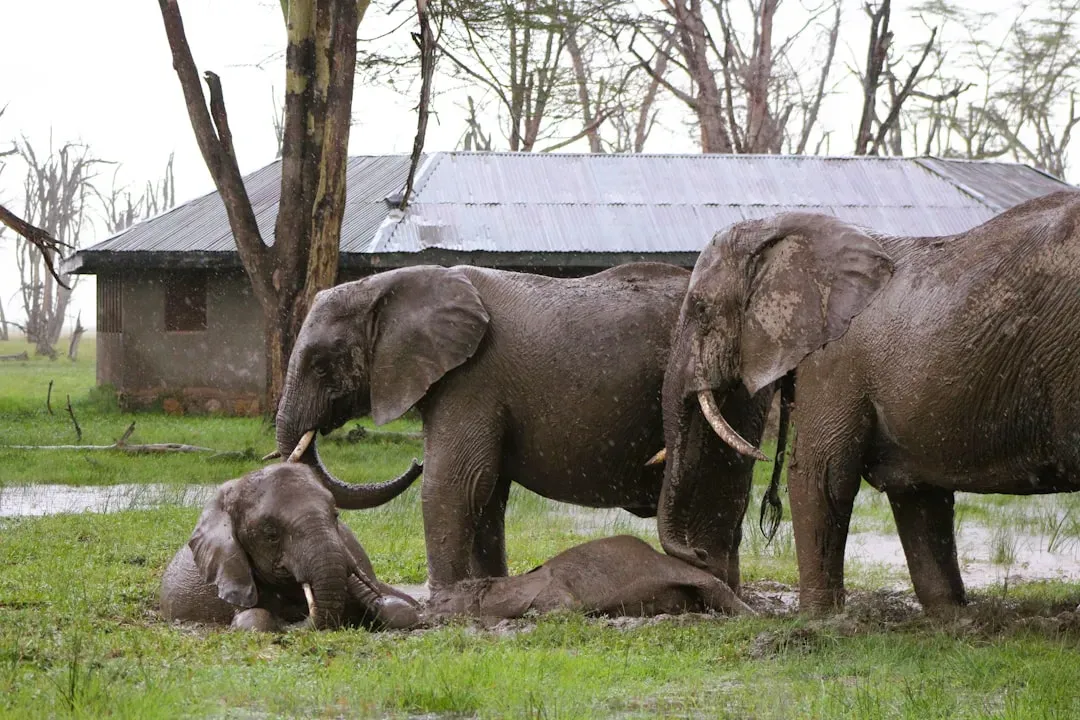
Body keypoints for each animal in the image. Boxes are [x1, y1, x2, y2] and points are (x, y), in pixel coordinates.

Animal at [273, 262, 757, 598]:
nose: (412, 461)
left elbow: (456, 482)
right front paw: (486, 592)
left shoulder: (472, 377)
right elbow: (486, 493)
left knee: (721, 484)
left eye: (321, 365)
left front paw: (445, 605)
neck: (390, 285)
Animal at [660, 189, 1080, 614]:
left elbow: (819, 474)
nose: (699, 557)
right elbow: (916, 492)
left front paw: (818, 619)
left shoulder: (835, 358)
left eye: (700, 309)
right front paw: (951, 618)